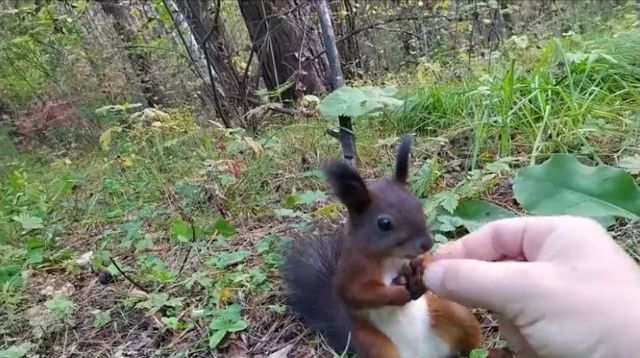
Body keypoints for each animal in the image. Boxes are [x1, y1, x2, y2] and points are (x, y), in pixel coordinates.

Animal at [282, 135, 502, 358]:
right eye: (384, 224)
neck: (391, 259)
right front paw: (401, 293)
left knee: (473, 345)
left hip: (455, 314)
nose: (427, 243)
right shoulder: (352, 272)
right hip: (375, 346)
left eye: (418, 205)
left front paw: (421, 264)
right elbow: (361, 294)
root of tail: (424, 354)